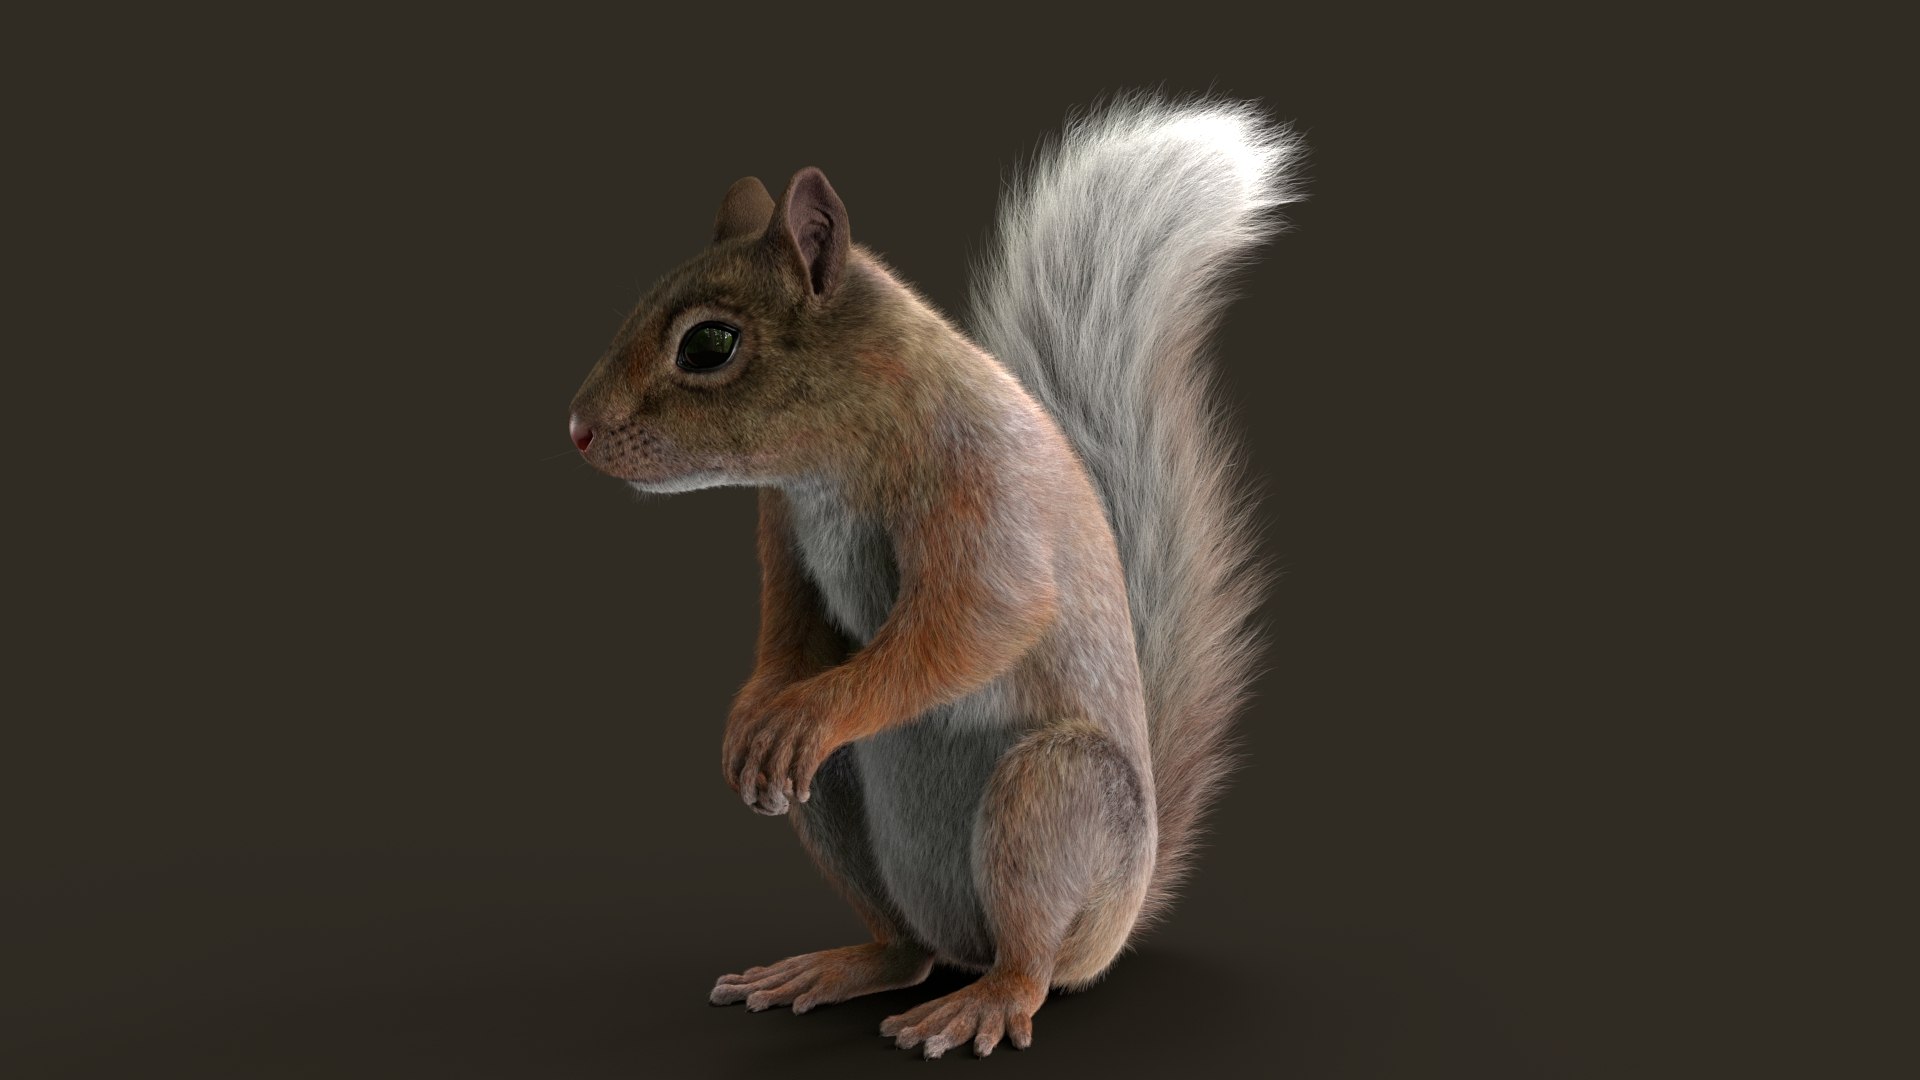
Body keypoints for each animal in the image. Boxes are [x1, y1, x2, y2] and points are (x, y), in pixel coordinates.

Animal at [565, 94, 1303, 1058]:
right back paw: (844, 965)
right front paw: (754, 714)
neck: (836, 456)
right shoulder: (784, 527)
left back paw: (985, 1001)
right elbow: (791, 631)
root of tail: (1118, 918)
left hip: (1053, 797)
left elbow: (978, 618)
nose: (576, 429)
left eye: (710, 344)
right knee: (904, 946)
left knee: (1030, 960)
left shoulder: (978, 481)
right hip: (842, 805)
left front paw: (813, 708)